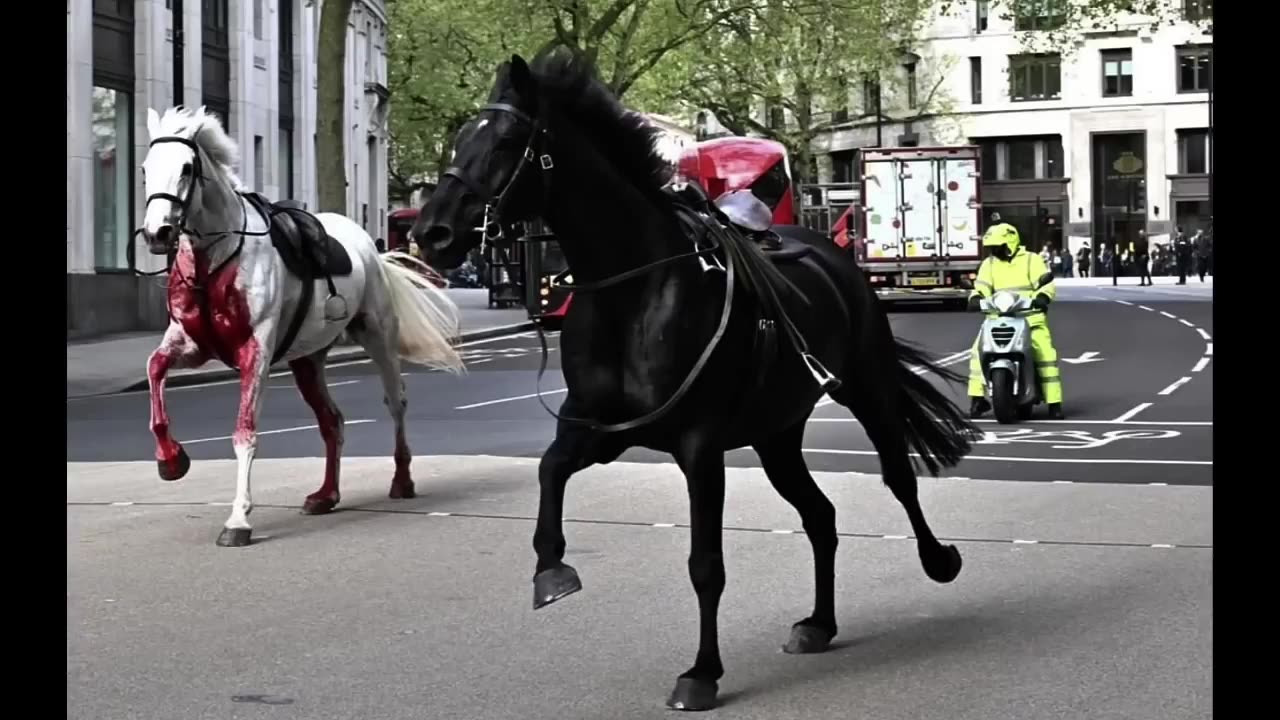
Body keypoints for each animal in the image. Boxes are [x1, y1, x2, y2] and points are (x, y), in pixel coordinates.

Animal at [138, 105, 465, 543]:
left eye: (187, 168)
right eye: (145, 168)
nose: (157, 233)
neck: (215, 260)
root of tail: (369, 245)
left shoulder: (255, 352)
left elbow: (245, 433)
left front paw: (238, 519)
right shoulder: (191, 344)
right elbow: (154, 370)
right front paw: (171, 460)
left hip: (378, 336)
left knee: (395, 402)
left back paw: (402, 480)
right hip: (307, 359)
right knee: (332, 421)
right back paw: (326, 495)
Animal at [409, 51, 977, 712]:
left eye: (504, 141)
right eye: (459, 139)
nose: (431, 233)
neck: (632, 293)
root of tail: (831, 250)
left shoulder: (699, 446)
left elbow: (706, 563)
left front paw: (702, 673)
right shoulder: (600, 429)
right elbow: (550, 471)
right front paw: (551, 571)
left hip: (866, 388)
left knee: (897, 477)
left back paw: (939, 560)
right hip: (776, 433)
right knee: (820, 515)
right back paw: (819, 623)